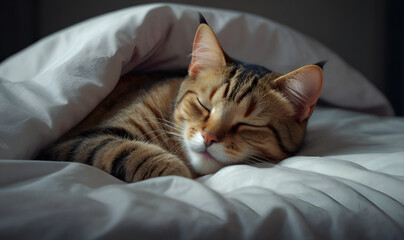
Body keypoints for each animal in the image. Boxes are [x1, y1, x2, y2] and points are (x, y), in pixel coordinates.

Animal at [38, 14, 326, 182]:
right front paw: (175, 172)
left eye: (249, 124)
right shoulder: (73, 141)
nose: (209, 138)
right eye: (204, 105)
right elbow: (125, 149)